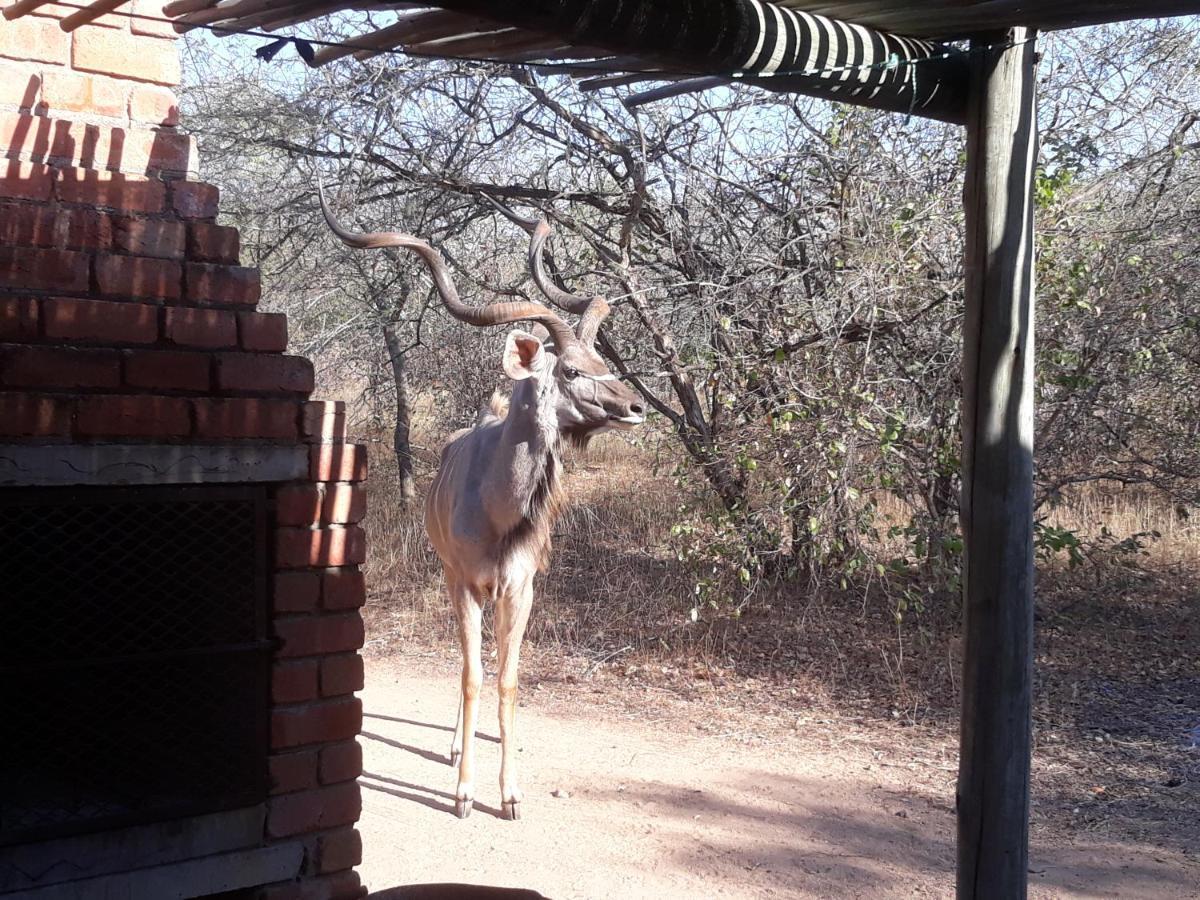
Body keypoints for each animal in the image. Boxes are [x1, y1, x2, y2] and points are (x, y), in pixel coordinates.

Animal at [314, 187, 643, 820]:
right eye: (570, 370)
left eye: (603, 364)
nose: (635, 406)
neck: (497, 510)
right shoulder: (462, 581)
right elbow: (471, 674)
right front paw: (465, 793)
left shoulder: (521, 587)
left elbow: (508, 679)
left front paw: (509, 792)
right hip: (451, 579)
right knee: (465, 664)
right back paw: (451, 748)